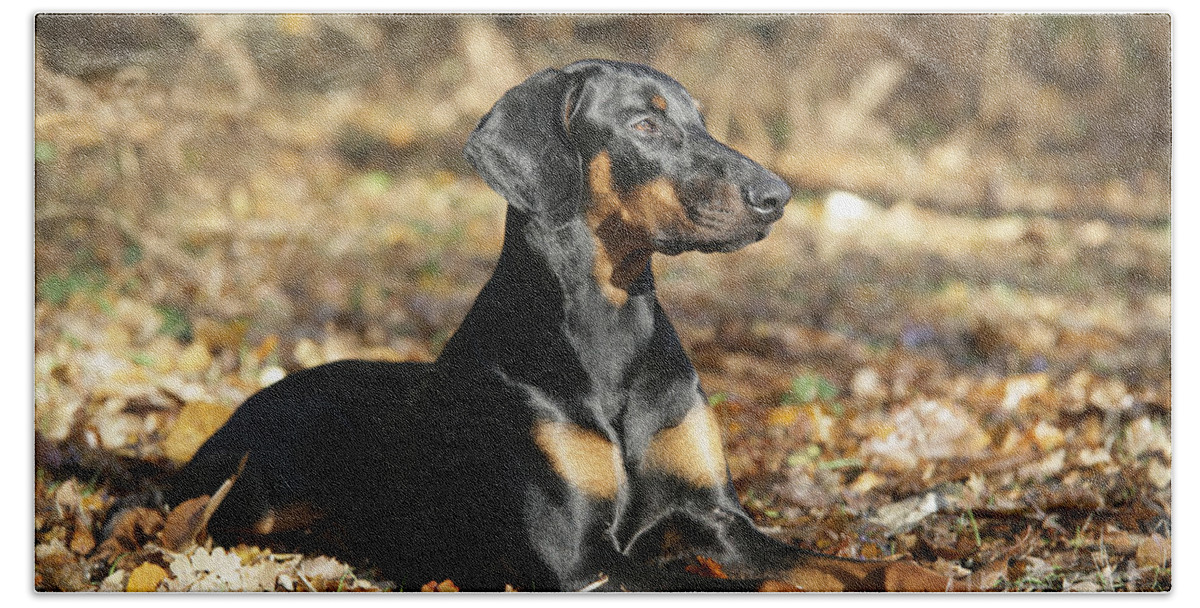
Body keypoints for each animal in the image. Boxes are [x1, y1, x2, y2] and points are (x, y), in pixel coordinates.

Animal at [169, 59, 969, 592]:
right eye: (645, 123)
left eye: (701, 121)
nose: (777, 194)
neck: (612, 326)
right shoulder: (577, 562)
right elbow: (732, 584)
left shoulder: (721, 522)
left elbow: (832, 561)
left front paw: (919, 572)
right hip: (249, 500)